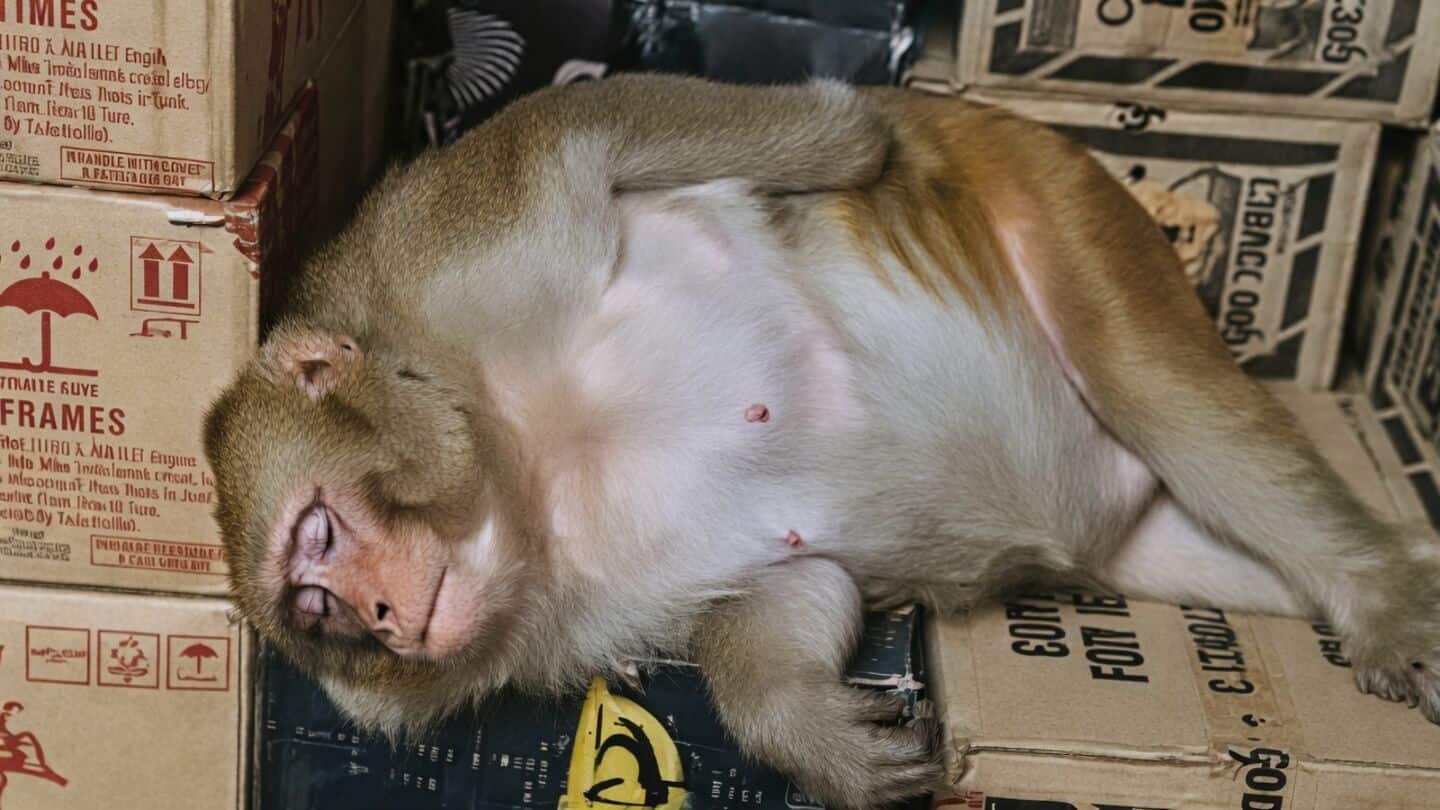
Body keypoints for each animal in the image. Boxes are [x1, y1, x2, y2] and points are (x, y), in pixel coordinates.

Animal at [202, 74, 1440, 808]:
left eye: (318, 536)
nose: (378, 619)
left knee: (1160, 394)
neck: (527, 458)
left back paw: (1373, 589)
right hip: (1130, 533)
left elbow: (621, 124)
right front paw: (810, 735)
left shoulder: (465, 233)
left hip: (1069, 209)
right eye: (315, 611)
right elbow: (794, 581)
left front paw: (866, 123)